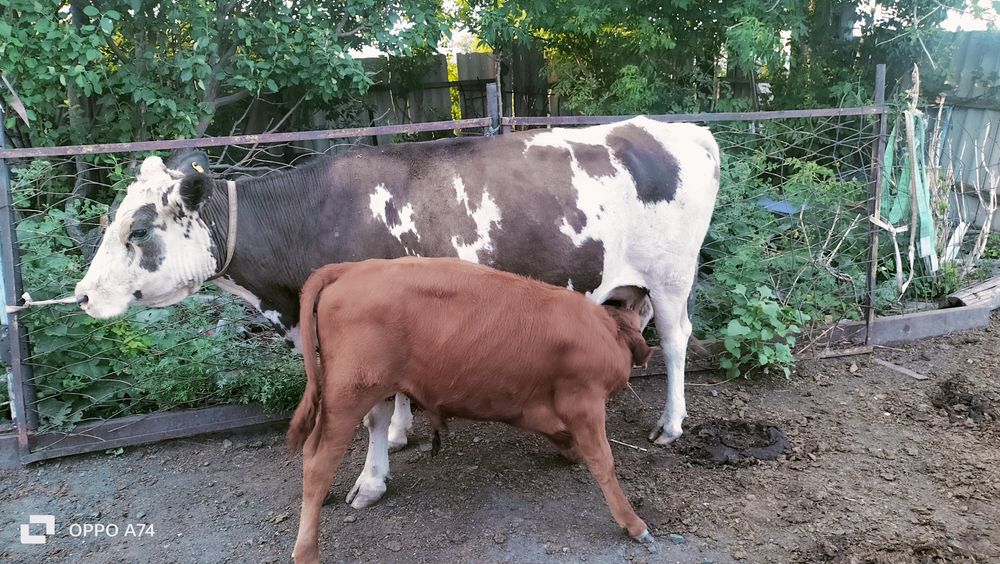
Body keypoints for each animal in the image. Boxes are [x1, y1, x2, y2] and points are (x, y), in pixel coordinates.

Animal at [74, 116, 720, 511]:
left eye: (138, 229)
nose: (81, 295)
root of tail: (676, 128)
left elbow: (373, 415)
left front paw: (370, 479)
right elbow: (396, 399)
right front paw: (404, 434)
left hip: (671, 276)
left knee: (674, 342)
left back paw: (670, 424)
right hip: (632, 285)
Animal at [288, 257, 657, 562]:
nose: (645, 289)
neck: (606, 330)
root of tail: (351, 268)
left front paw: (570, 451)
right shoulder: (584, 401)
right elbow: (604, 462)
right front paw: (634, 524)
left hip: (367, 389)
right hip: (347, 396)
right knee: (317, 463)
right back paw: (306, 551)